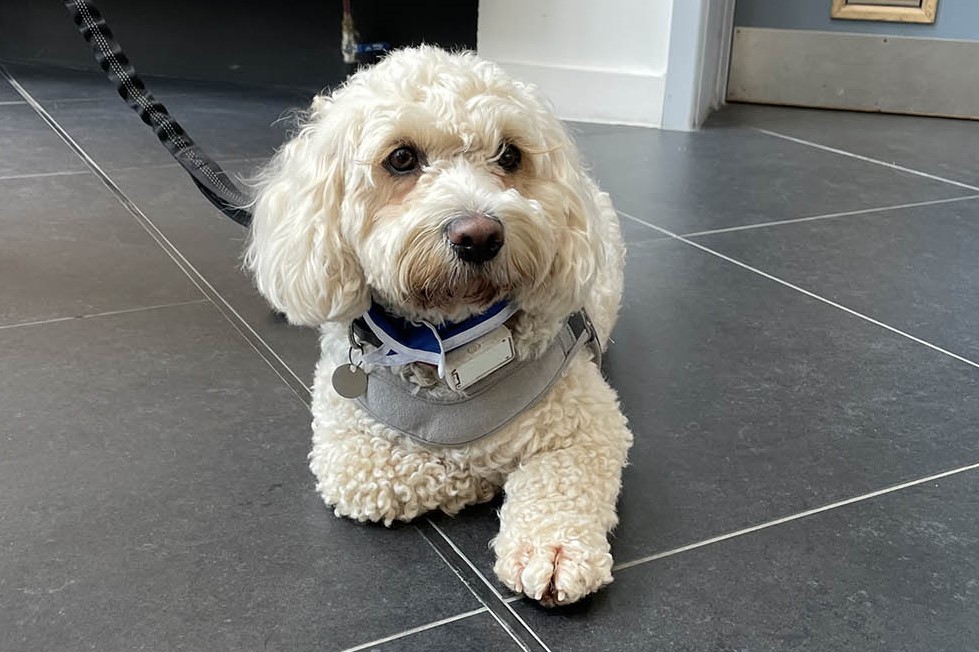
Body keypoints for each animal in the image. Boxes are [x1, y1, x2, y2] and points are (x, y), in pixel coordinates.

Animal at [245, 45, 636, 608]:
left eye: (510, 155)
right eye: (401, 158)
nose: (479, 234)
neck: (452, 343)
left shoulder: (588, 421)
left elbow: (559, 477)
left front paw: (554, 549)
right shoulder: (353, 458)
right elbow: (438, 471)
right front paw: (482, 476)